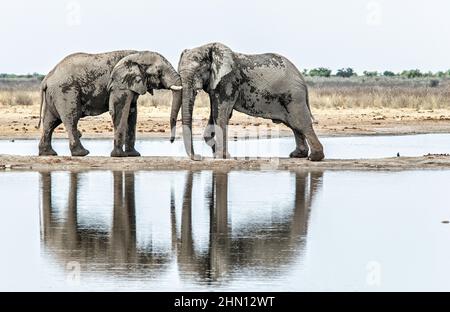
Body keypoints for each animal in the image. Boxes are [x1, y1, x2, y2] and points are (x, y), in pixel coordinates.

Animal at [37, 50, 181, 156]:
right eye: (159, 72)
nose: (171, 141)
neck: (137, 54)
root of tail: (47, 78)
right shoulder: (119, 85)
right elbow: (119, 111)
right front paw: (119, 156)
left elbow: (132, 114)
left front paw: (133, 155)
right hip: (66, 91)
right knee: (71, 118)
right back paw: (82, 153)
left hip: (55, 94)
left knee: (50, 121)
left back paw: (48, 154)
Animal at [171, 42, 326, 161]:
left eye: (198, 70)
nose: (198, 157)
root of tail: (302, 78)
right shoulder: (215, 84)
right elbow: (214, 114)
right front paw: (218, 155)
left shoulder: (228, 81)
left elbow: (221, 115)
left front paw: (222, 156)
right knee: (294, 125)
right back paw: (297, 155)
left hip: (294, 97)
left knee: (301, 123)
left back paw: (314, 158)